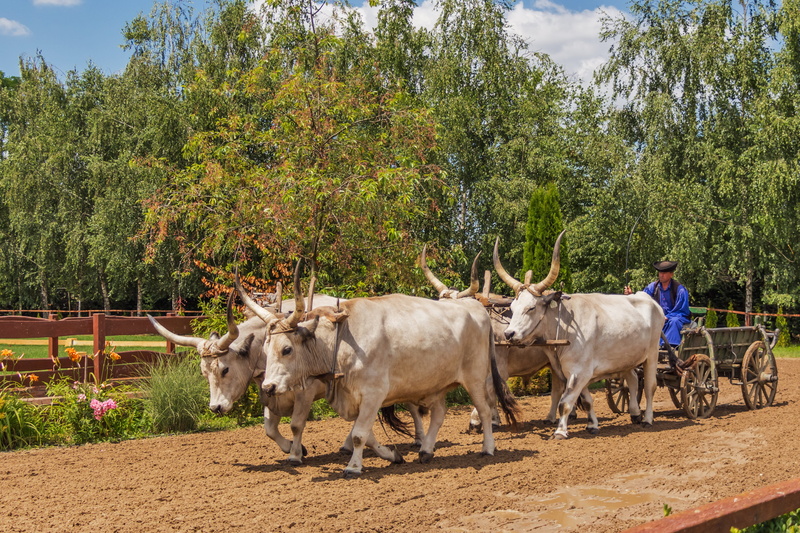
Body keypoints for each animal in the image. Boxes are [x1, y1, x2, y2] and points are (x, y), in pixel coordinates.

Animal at [250, 267, 520, 477]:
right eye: (266, 346)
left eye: (286, 349)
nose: (268, 387)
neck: (343, 339)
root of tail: (475, 307)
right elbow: (366, 435)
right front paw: (393, 455)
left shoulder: (374, 394)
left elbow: (359, 435)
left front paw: (353, 468)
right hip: (437, 383)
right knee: (439, 414)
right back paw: (426, 451)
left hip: (475, 378)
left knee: (484, 409)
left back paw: (487, 448)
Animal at [493, 231, 663, 439]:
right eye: (512, 307)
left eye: (531, 308)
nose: (509, 334)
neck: (565, 328)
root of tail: (648, 299)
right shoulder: (574, 373)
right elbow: (587, 399)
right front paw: (592, 425)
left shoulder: (579, 371)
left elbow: (565, 402)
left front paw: (560, 431)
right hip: (626, 358)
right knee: (631, 379)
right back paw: (635, 413)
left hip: (652, 354)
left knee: (650, 386)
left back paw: (647, 419)